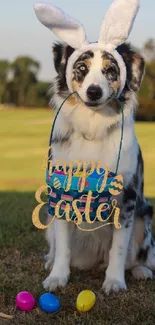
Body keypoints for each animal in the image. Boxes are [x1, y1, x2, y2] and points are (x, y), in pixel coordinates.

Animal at [42, 41, 155, 294]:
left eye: (110, 70)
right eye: (81, 68)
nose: (94, 91)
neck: (93, 126)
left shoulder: (127, 198)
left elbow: (119, 248)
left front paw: (114, 281)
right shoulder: (61, 194)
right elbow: (63, 246)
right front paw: (58, 277)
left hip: (144, 216)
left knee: (138, 255)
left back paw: (141, 270)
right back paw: (50, 260)